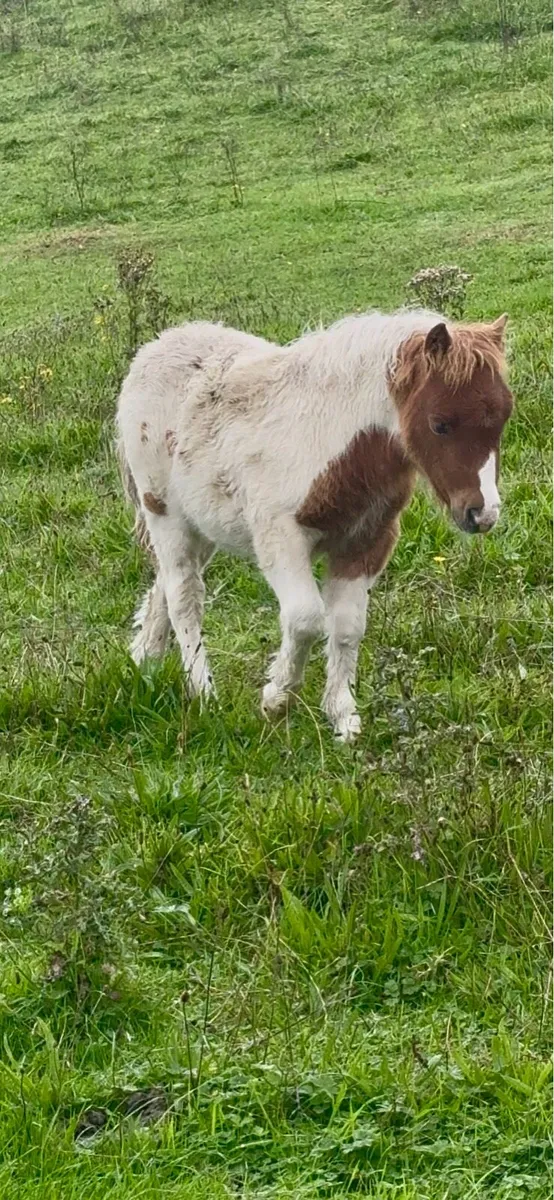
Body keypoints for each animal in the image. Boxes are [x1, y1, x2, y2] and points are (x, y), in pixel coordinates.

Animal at [116, 307, 513, 741]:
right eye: (440, 423)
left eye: (503, 418)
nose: (482, 514)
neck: (334, 441)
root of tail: (155, 349)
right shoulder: (280, 536)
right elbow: (306, 618)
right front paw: (276, 699)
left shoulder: (366, 542)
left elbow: (347, 626)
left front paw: (343, 718)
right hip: (164, 514)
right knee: (184, 596)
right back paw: (203, 693)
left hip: (203, 525)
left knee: (166, 584)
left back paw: (145, 660)